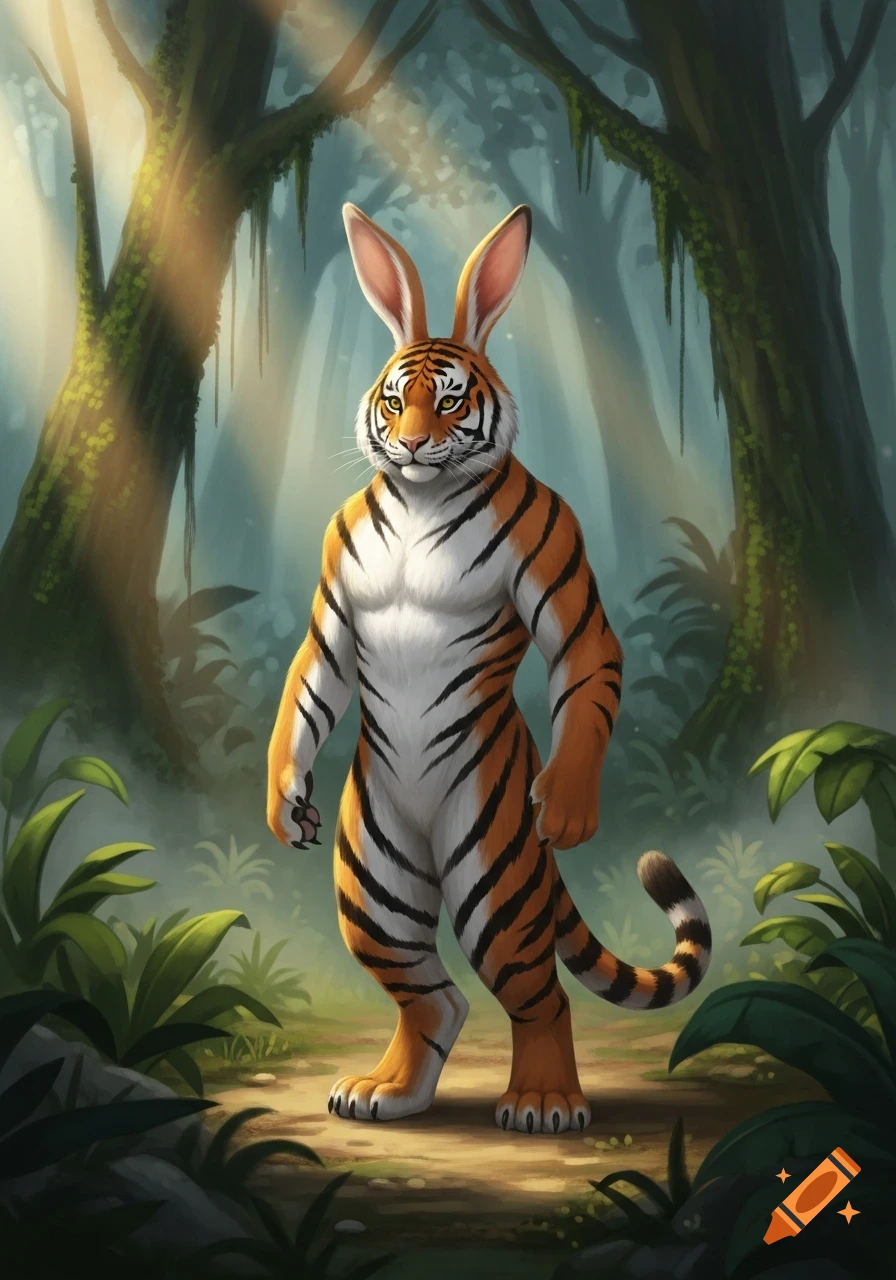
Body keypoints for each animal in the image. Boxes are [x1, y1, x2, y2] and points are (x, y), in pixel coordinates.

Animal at [267, 202, 712, 1135]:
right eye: (394, 398)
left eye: (450, 398)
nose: (410, 446)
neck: (419, 498)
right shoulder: (334, 614)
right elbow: (307, 692)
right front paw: (284, 798)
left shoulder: (567, 585)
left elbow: (587, 661)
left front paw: (571, 806)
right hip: (374, 880)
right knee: (431, 993)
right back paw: (386, 1092)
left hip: (496, 877)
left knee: (538, 995)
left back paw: (544, 1102)